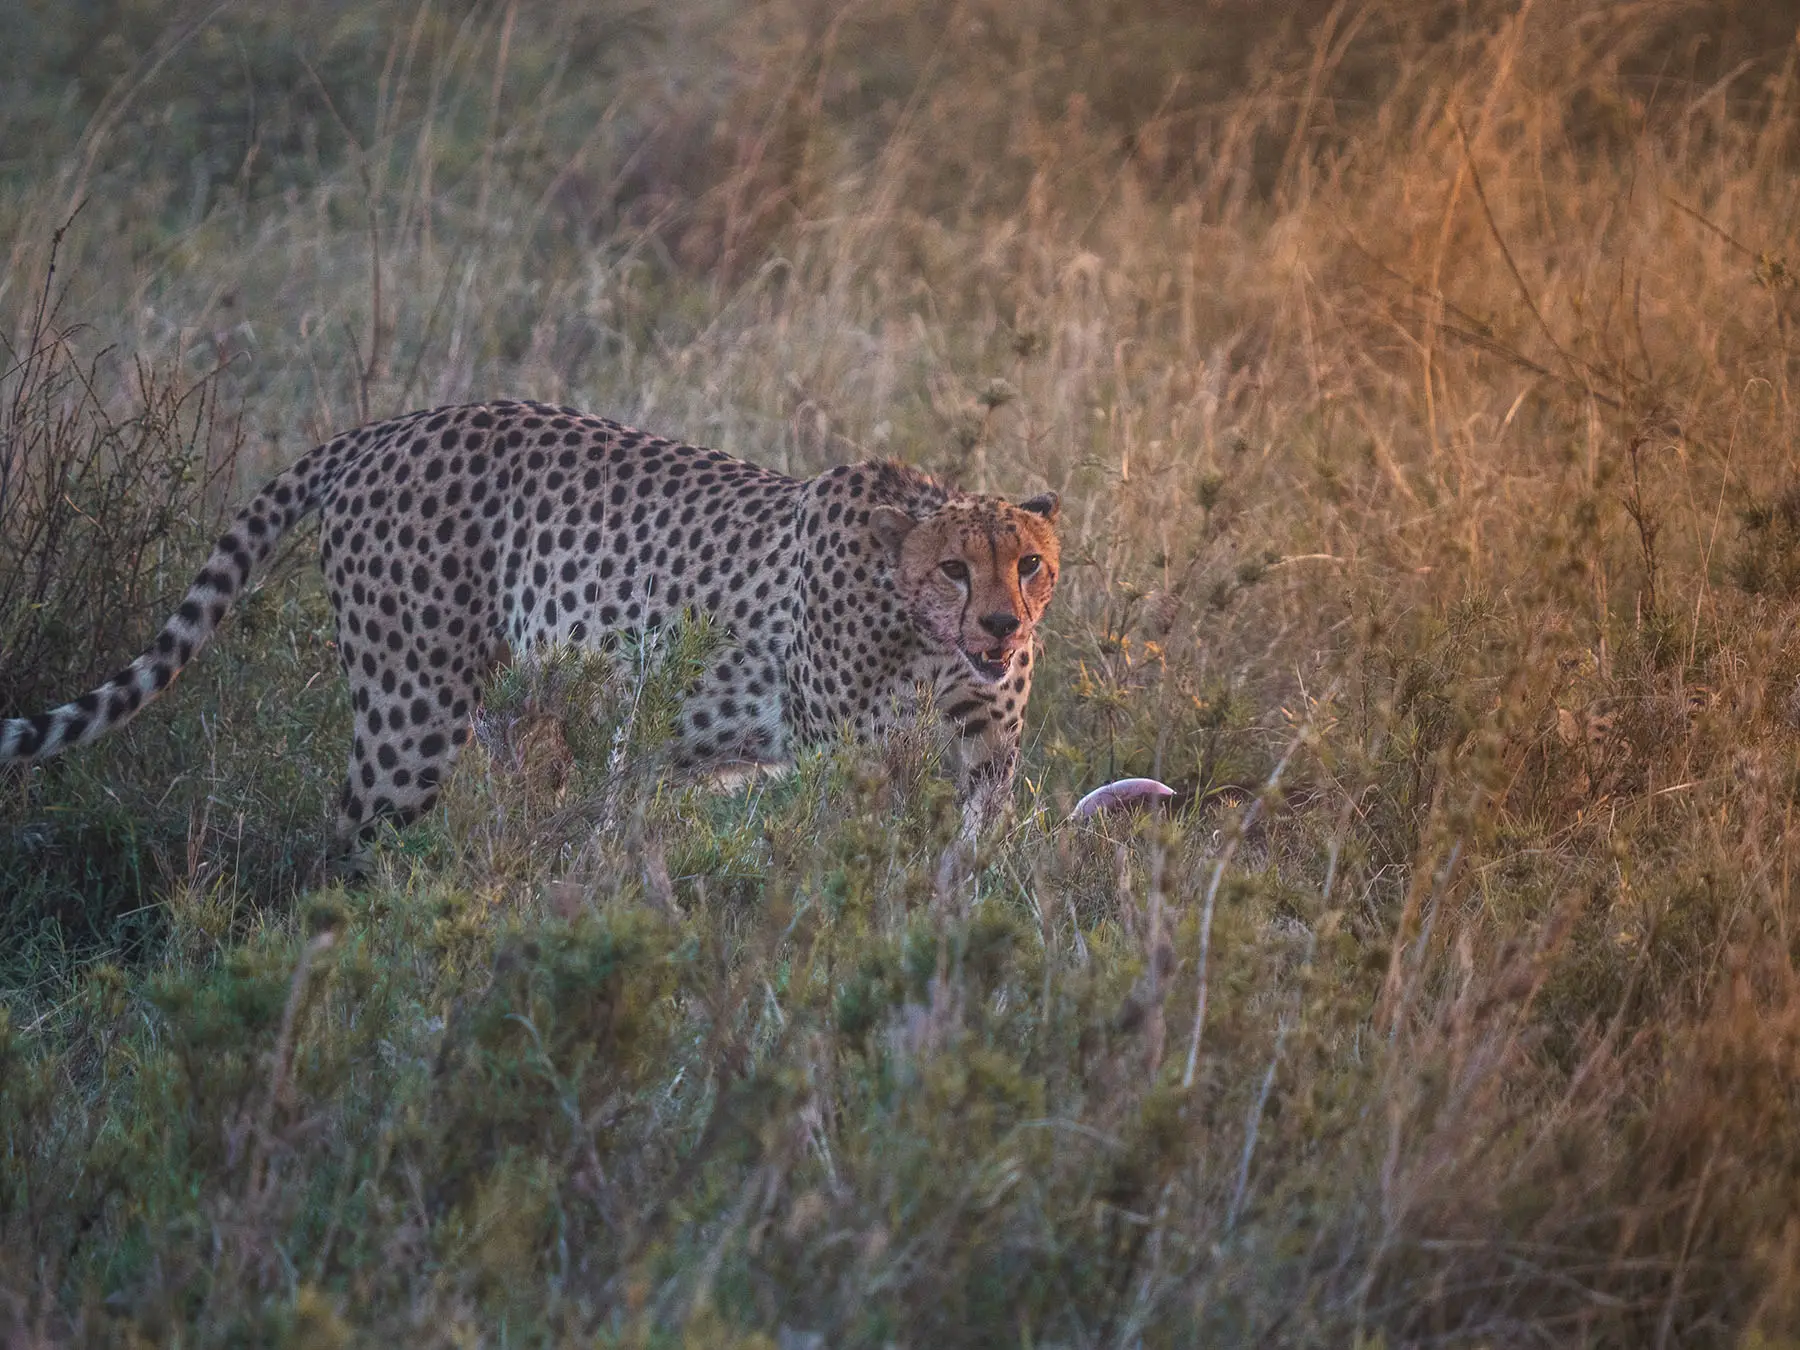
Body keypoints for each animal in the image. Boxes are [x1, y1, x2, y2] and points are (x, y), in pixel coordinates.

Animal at [0, 400, 1061, 861]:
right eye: (956, 568)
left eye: (1029, 564)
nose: (1002, 624)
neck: (923, 640)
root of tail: (400, 422)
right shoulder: (846, 763)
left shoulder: (983, 761)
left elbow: (965, 856)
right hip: (409, 718)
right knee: (350, 840)